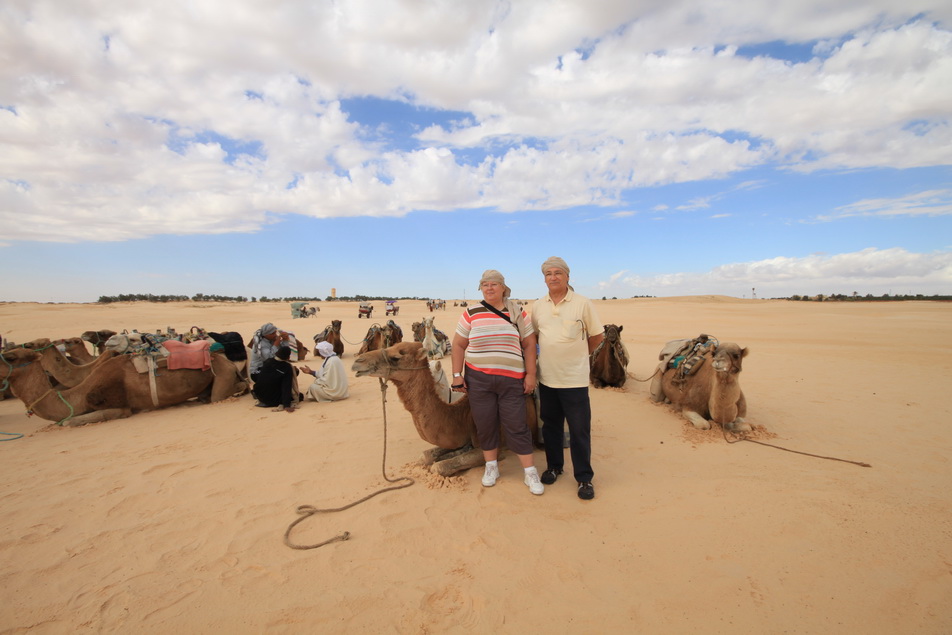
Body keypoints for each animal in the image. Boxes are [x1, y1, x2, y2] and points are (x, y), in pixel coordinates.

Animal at [351, 342, 537, 476]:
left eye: (396, 357)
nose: (357, 362)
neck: (462, 415)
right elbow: (425, 456)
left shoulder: (495, 444)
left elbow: (439, 467)